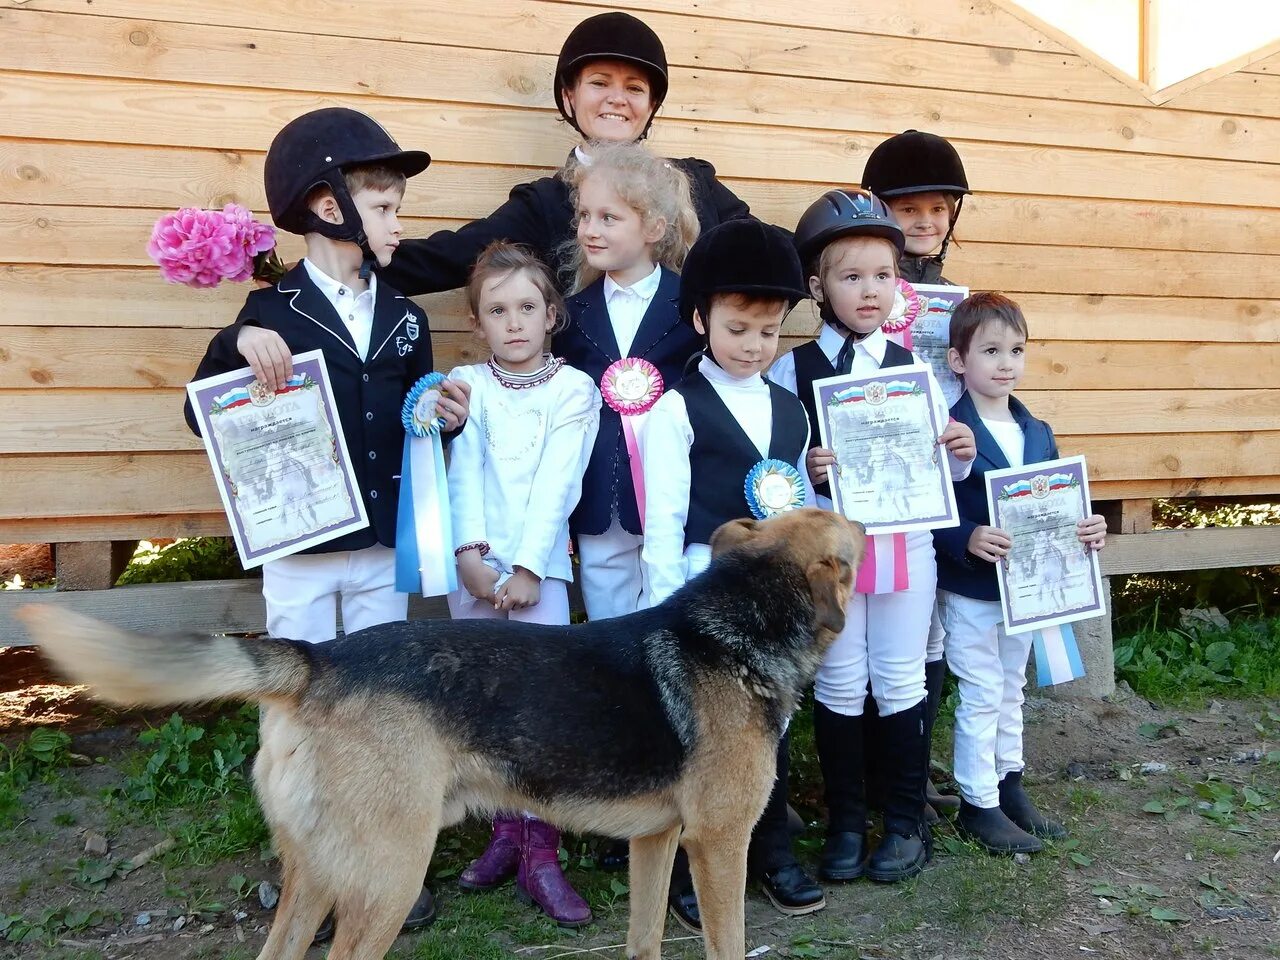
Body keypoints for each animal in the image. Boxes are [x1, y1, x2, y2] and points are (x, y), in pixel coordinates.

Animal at [15, 506, 865, 957]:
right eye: (849, 538)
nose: (869, 514)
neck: (733, 631)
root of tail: (318, 661)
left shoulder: (655, 843)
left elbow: (645, 938)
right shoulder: (717, 846)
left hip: (319, 873)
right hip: (389, 874)